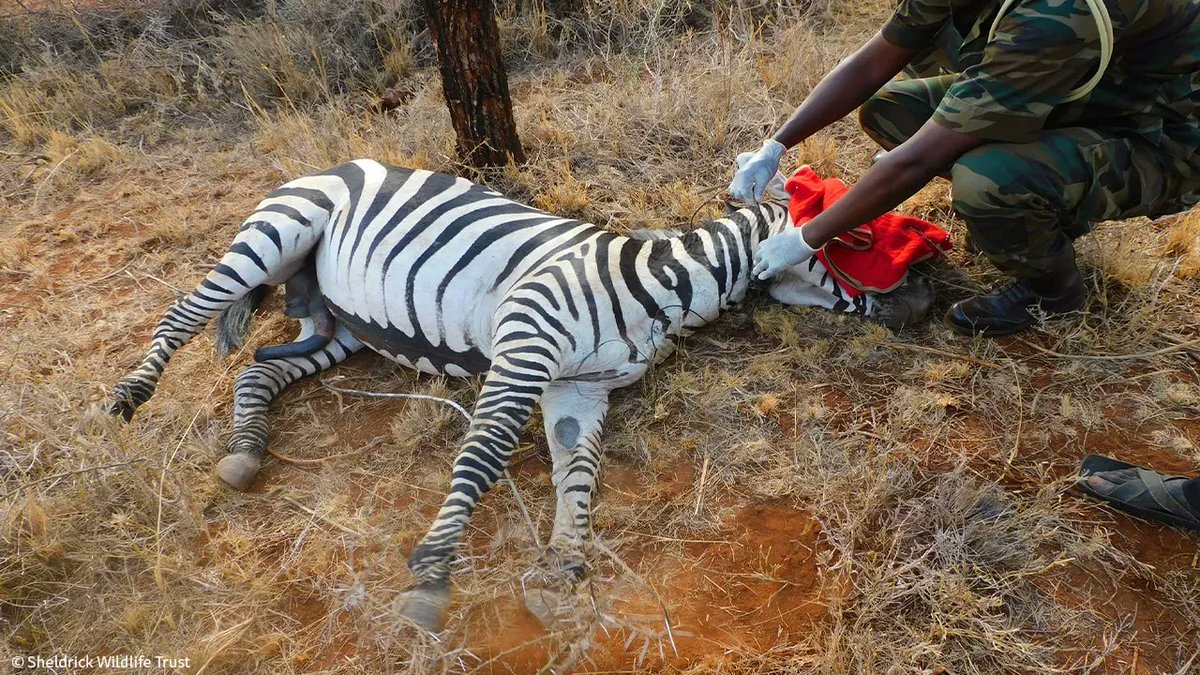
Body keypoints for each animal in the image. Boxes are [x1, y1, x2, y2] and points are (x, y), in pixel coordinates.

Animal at [107, 159, 919, 632]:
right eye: (861, 238)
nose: (935, 299)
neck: (657, 288)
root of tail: (338, 160)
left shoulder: (578, 390)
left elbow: (577, 473)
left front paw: (563, 566)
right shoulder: (525, 349)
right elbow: (484, 455)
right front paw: (433, 577)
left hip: (344, 324)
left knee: (258, 368)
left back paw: (245, 449)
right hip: (278, 234)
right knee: (186, 308)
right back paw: (128, 397)